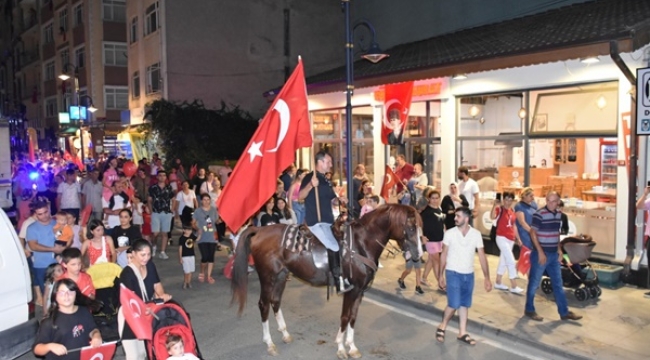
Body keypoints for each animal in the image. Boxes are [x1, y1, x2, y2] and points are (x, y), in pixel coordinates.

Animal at [232, 204, 420, 358]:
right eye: (411, 227)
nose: (418, 254)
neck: (360, 244)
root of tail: (260, 231)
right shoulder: (351, 290)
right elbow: (345, 317)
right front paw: (341, 348)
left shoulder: (359, 291)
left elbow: (353, 317)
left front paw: (352, 347)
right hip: (267, 277)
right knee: (264, 305)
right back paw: (269, 343)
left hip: (280, 276)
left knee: (275, 301)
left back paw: (285, 334)